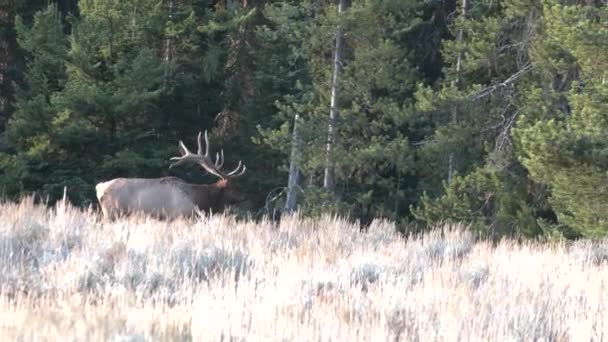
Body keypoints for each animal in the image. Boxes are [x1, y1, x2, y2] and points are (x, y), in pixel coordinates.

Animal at [96, 131, 246, 219]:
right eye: (233, 187)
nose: (243, 197)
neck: (199, 200)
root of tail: (99, 188)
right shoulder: (180, 216)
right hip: (113, 214)